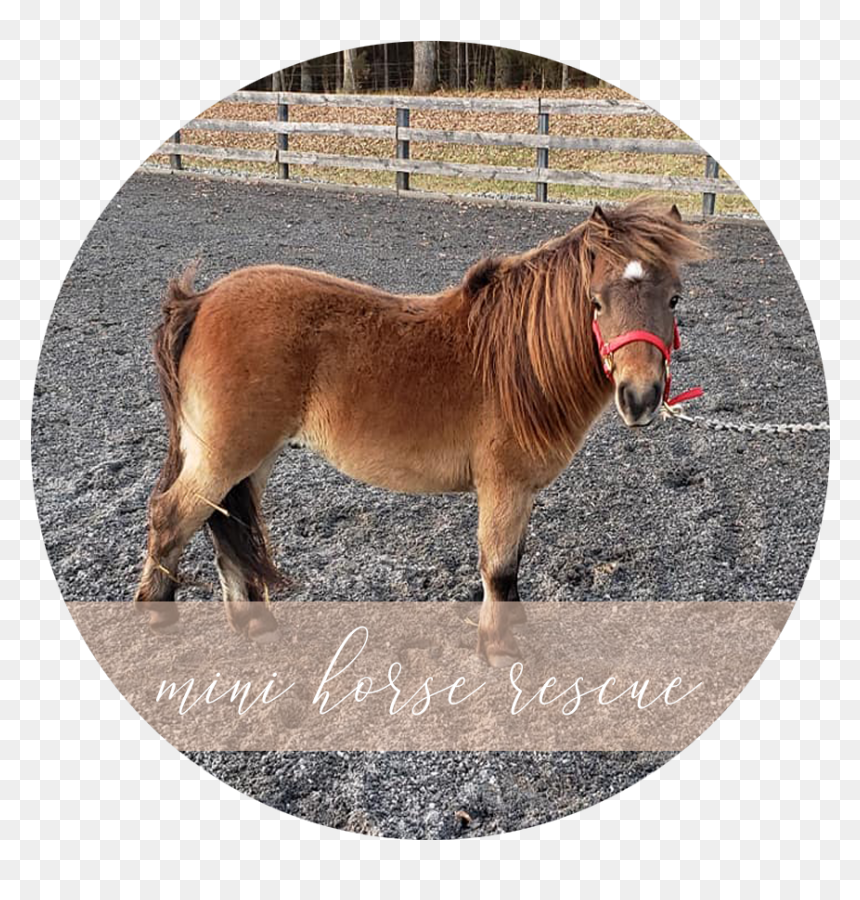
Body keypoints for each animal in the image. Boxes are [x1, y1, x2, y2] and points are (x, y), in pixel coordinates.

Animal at [133, 199, 707, 666]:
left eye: (674, 299)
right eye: (597, 301)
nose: (640, 397)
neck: (517, 361)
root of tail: (201, 301)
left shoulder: (519, 492)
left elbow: (513, 563)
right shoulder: (503, 487)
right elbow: (498, 567)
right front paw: (499, 648)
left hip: (252, 458)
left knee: (224, 526)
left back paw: (254, 624)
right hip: (227, 454)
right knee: (171, 517)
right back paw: (158, 619)